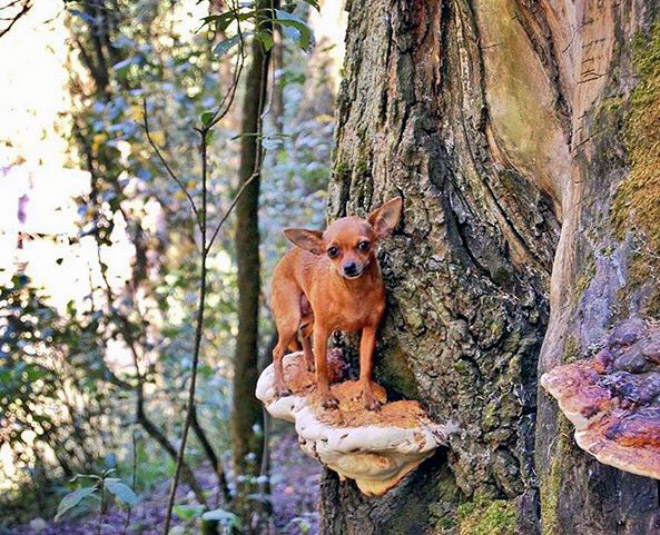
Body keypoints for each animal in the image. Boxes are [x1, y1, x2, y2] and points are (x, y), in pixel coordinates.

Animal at [268, 197, 402, 410]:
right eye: (332, 251)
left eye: (364, 245)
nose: (349, 267)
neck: (354, 293)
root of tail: (288, 255)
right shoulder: (323, 331)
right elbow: (323, 369)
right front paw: (326, 397)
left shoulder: (370, 331)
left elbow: (365, 369)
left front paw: (369, 398)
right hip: (291, 319)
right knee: (277, 351)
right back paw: (280, 387)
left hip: (310, 317)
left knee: (304, 334)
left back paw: (309, 361)